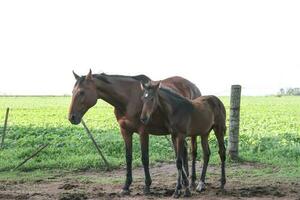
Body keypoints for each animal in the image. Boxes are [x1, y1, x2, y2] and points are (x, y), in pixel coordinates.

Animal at [67, 70, 200, 194]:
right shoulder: (125, 131)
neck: (127, 99)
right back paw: (184, 182)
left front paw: (147, 186)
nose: (71, 117)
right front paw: (126, 186)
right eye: (72, 92)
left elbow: (145, 158)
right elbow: (128, 157)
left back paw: (193, 182)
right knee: (183, 152)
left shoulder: (143, 132)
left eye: (81, 92)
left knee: (193, 153)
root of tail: (193, 86)